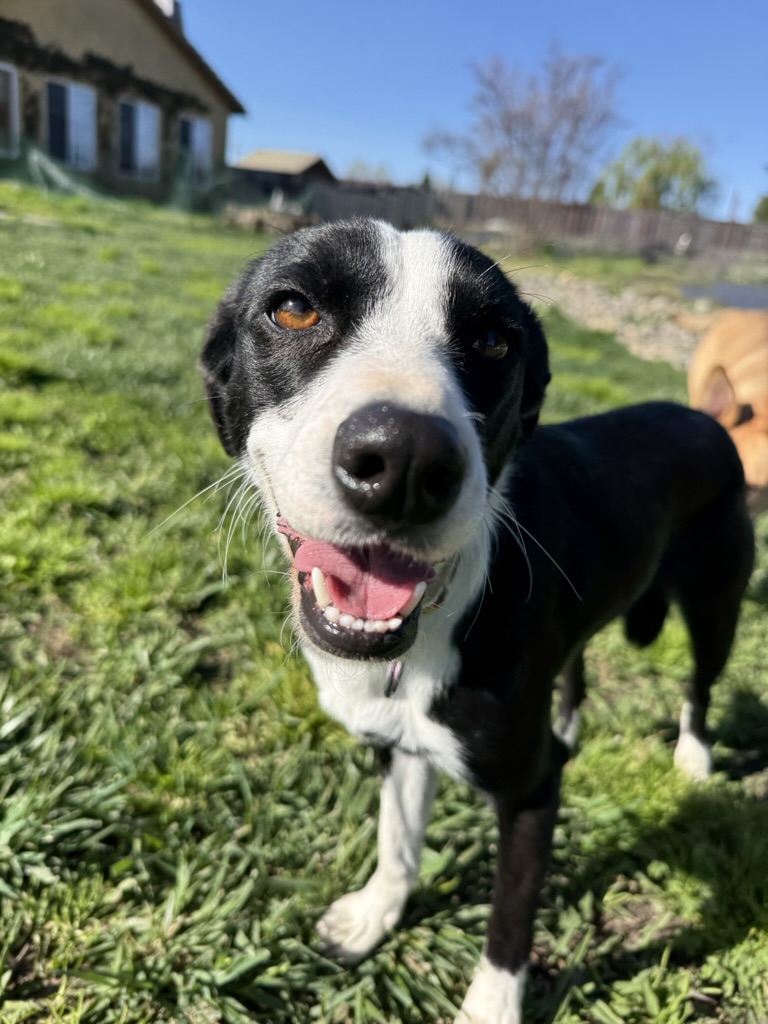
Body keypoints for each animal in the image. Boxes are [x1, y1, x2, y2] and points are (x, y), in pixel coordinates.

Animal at [200, 219, 754, 1023]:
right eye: (294, 307)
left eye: (495, 341)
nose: (403, 460)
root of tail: (708, 419)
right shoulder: (400, 746)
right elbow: (398, 839)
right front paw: (374, 914)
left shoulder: (532, 795)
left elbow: (510, 919)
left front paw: (492, 1004)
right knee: (576, 670)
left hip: (717, 603)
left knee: (700, 684)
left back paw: (693, 757)